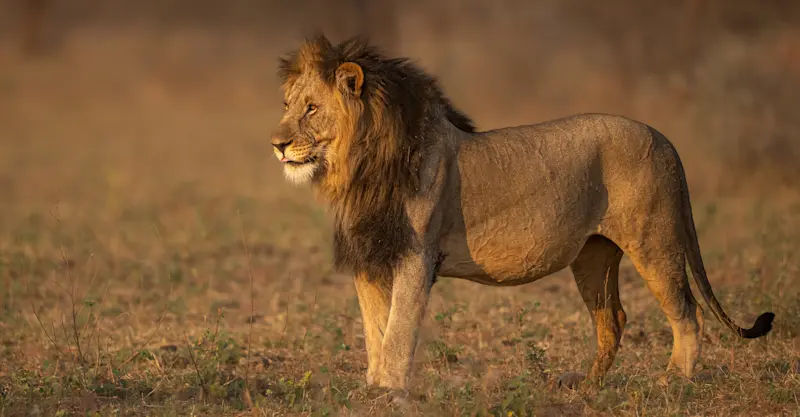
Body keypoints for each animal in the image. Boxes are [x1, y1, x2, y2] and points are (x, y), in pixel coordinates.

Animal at [270, 35, 775, 395]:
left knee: (688, 313)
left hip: (655, 241)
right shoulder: (372, 258)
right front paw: (374, 389)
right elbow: (376, 330)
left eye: (312, 109)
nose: (276, 144)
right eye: (287, 106)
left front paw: (391, 392)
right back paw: (587, 387)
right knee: (613, 319)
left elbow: (398, 331)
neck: (359, 168)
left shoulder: (415, 257)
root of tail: (664, 138)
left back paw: (675, 382)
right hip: (593, 256)